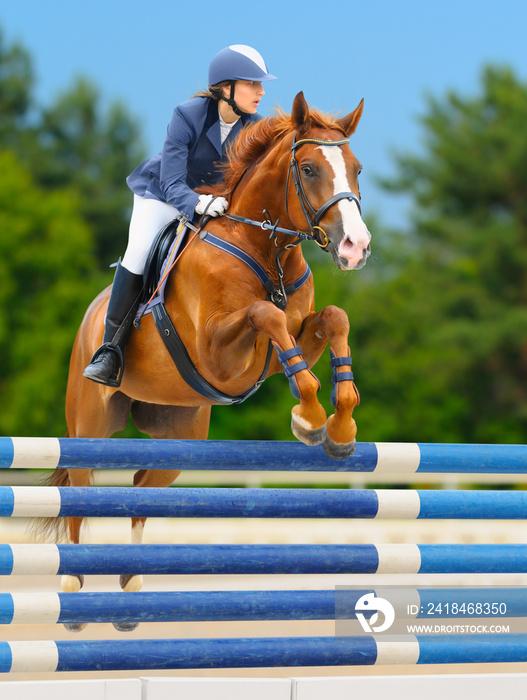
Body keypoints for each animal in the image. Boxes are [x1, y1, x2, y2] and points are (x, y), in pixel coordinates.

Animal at [53, 90, 370, 632]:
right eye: (308, 169)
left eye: (357, 168)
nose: (356, 247)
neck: (264, 246)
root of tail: (91, 316)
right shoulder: (218, 354)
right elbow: (266, 313)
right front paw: (309, 417)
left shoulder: (277, 351)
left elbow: (335, 318)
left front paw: (339, 425)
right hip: (90, 424)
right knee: (82, 489)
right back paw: (74, 590)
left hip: (179, 437)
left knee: (140, 489)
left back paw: (130, 589)